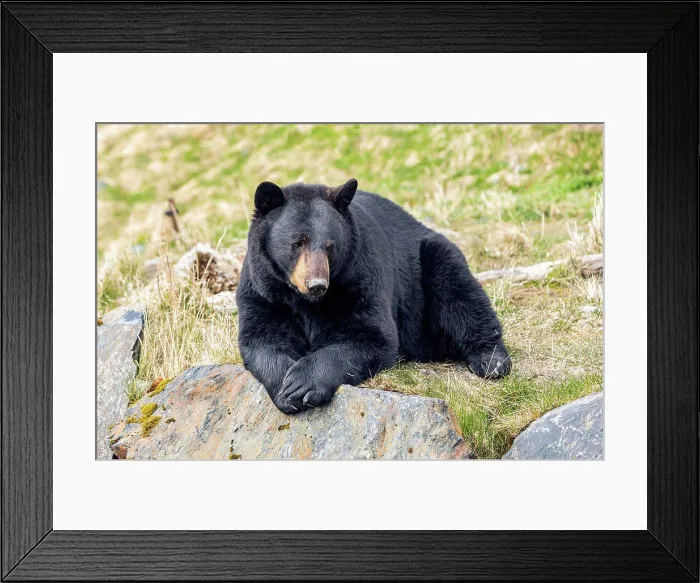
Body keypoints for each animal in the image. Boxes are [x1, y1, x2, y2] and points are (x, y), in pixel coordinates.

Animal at [236, 179, 511, 414]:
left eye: (330, 246)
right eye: (297, 243)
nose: (317, 285)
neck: (305, 302)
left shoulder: (359, 278)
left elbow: (372, 336)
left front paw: (303, 384)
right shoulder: (264, 291)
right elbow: (262, 338)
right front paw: (286, 387)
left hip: (428, 264)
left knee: (460, 293)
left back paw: (491, 360)